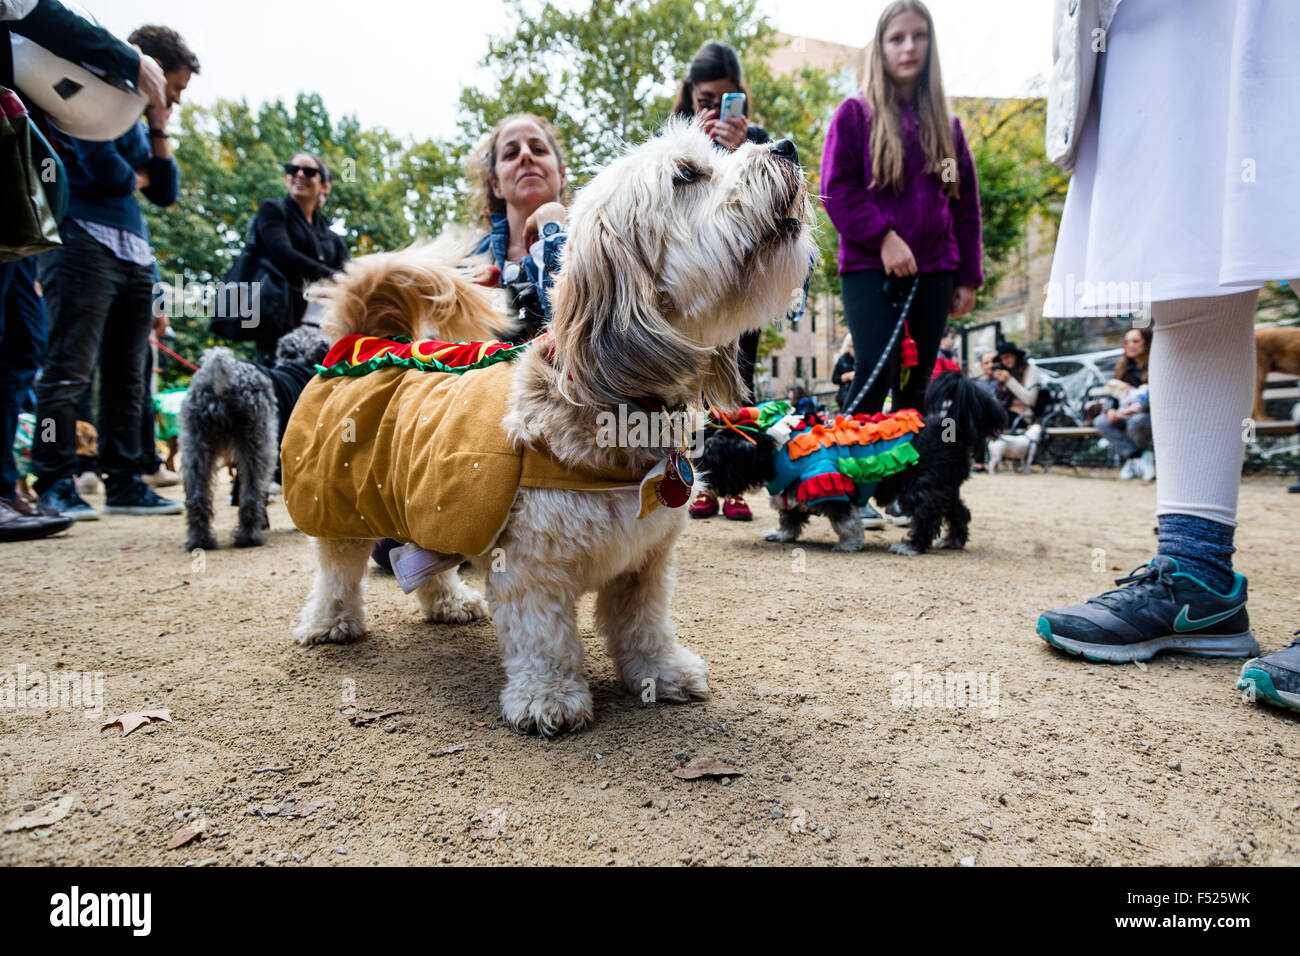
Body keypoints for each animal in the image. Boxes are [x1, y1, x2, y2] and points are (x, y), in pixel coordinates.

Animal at [180, 329, 327, 554]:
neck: (299, 364)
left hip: (197, 447)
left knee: (197, 496)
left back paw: (200, 540)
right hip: (258, 443)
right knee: (251, 494)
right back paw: (249, 536)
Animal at [284, 117, 811, 733]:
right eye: (687, 174)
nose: (788, 147)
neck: (611, 401)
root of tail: (368, 342)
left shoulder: (646, 564)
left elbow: (644, 626)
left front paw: (661, 674)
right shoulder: (530, 569)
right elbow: (544, 640)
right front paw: (548, 697)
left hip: (425, 501)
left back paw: (447, 602)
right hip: (340, 503)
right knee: (337, 568)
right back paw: (330, 622)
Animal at [702, 371, 1003, 554]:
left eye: (713, 460)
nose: (702, 482)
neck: (778, 446)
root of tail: (953, 426)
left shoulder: (826, 481)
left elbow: (843, 520)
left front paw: (848, 543)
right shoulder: (795, 487)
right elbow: (789, 515)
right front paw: (782, 534)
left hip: (921, 488)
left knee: (926, 515)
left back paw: (912, 546)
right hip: (944, 486)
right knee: (958, 512)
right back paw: (953, 539)